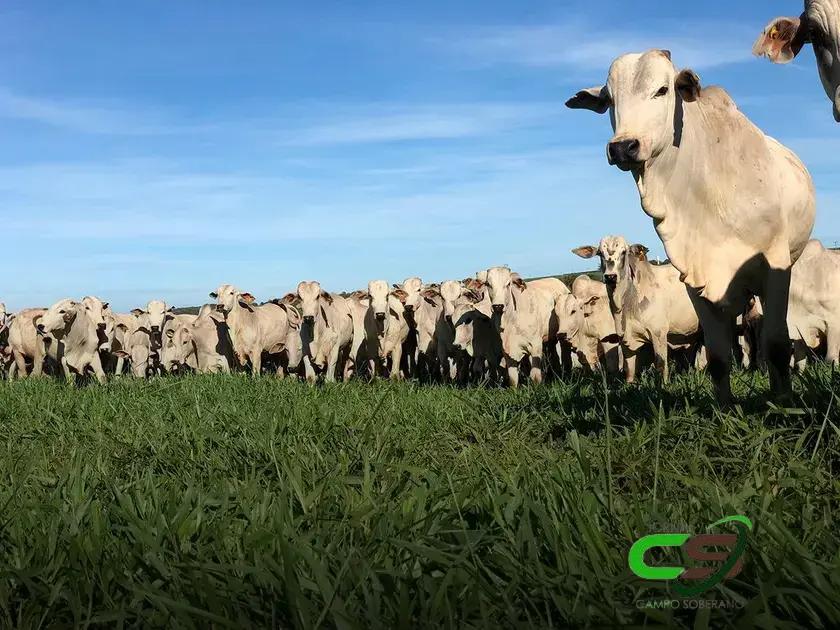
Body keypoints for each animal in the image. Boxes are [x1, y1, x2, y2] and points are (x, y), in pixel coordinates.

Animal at [564, 50, 812, 404]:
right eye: (609, 99)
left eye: (663, 89)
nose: (623, 146)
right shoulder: (696, 277)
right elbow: (718, 357)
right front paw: (725, 409)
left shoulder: (776, 269)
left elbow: (777, 346)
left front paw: (783, 404)